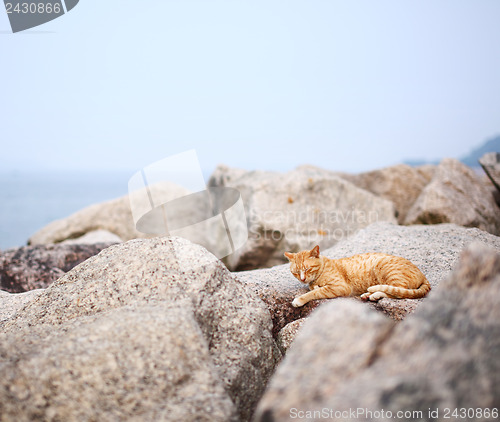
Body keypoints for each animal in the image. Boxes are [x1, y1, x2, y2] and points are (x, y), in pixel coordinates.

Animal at [286, 244, 430, 306]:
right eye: (296, 273)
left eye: (307, 269)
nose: (303, 279)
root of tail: (423, 275)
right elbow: (314, 289)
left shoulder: (339, 287)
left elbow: (314, 292)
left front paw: (299, 299)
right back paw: (368, 294)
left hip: (386, 269)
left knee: (397, 291)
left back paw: (374, 294)